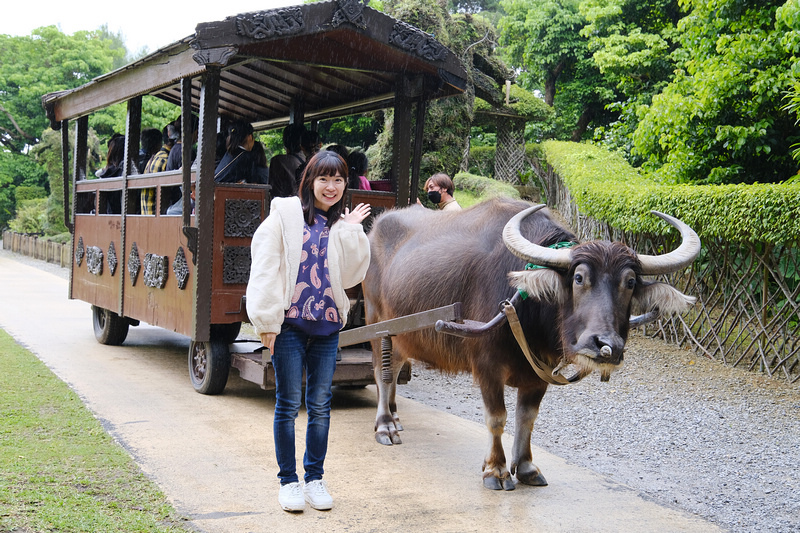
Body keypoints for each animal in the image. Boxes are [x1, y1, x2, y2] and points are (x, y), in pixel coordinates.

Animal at [362, 198, 700, 490]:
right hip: (377, 324)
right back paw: (385, 425)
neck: (529, 307)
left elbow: (527, 418)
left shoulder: (540, 373)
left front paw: (525, 467)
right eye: (578, 278)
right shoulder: (487, 366)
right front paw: (496, 470)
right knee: (383, 373)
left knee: (398, 368)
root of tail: (375, 228)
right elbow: (497, 418)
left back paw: (395, 416)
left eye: (629, 282)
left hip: (403, 335)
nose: (607, 345)